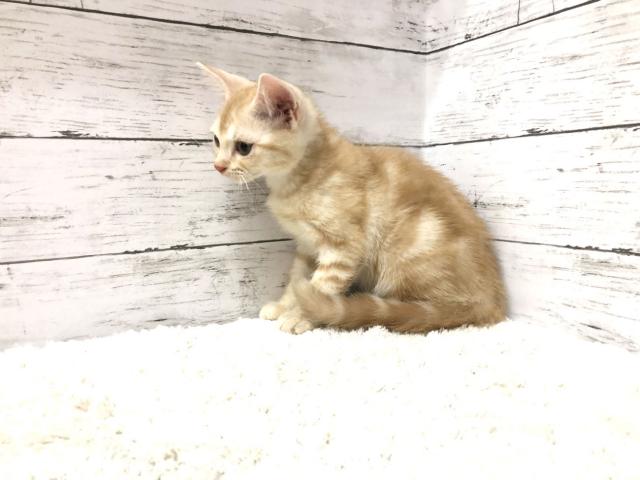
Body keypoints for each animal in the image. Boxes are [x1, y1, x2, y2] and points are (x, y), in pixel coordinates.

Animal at [198, 63, 506, 334]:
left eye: (243, 147)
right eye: (216, 140)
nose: (218, 166)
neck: (299, 177)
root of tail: (492, 300)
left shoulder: (343, 246)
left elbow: (321, 285)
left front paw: (301, 316)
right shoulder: (307, 245)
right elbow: (298, 278)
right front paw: (285, 305)